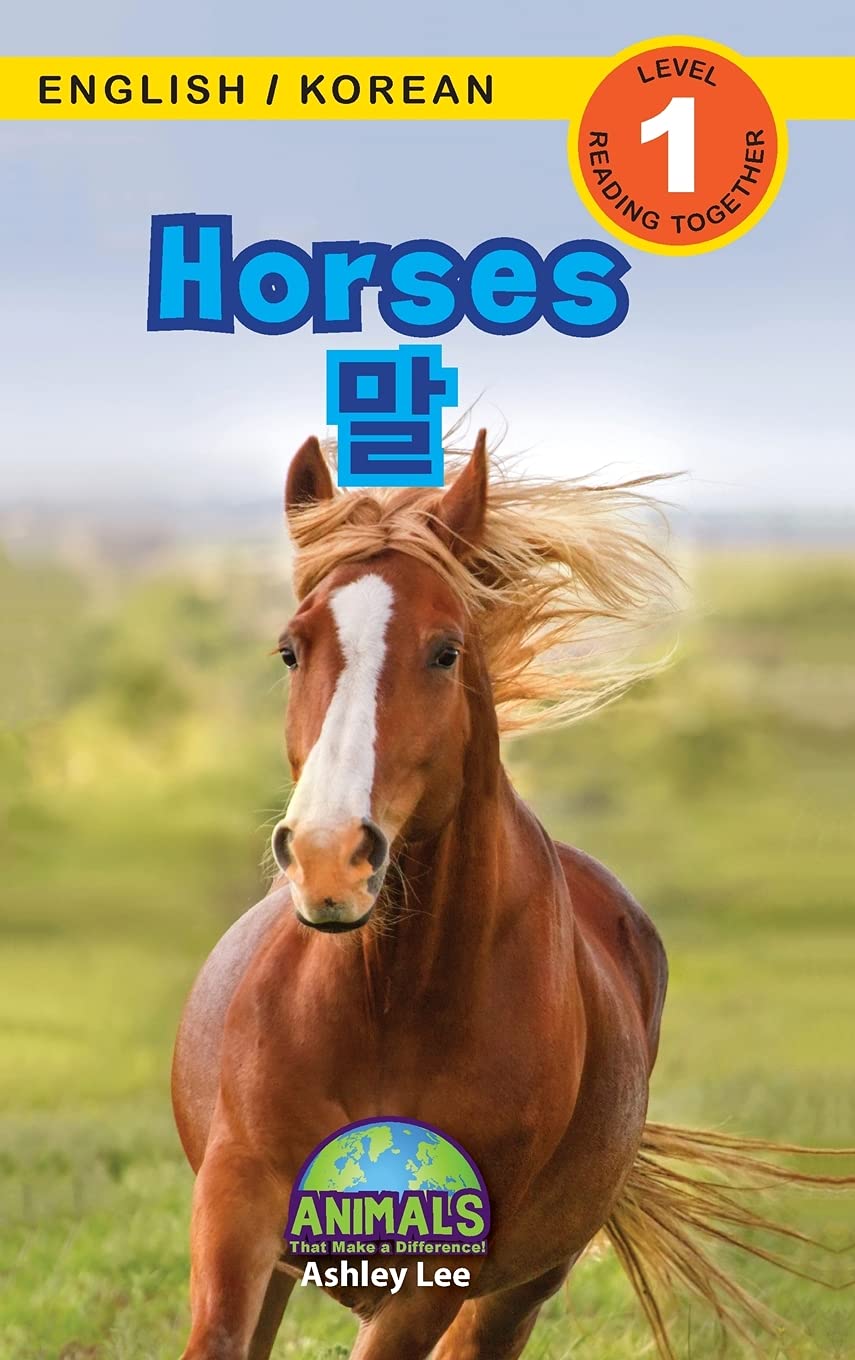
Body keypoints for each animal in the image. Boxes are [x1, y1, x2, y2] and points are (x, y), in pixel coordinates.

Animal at [172, 432, 844, 1360]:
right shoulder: (237, 1209)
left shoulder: (434, 1275)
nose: (327, 859)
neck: (386, 1007)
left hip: (517, 1290)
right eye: (289, 649)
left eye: (445, 650)